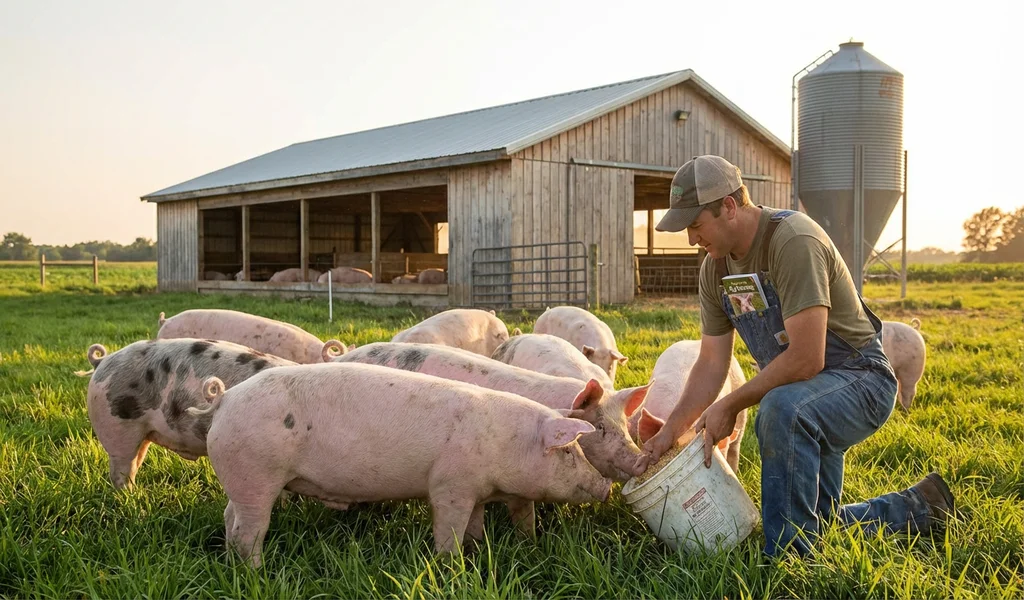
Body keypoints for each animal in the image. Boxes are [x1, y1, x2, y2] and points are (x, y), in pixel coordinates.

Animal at [191, 363, 612, 566]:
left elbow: (475, 525)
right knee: (249, 530)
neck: (504, 442)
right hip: (257, 474)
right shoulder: (450, 486)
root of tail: (225, 399)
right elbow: (449, 529)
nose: (605, 486)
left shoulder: (475, 490)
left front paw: (477, 550)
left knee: (230, 518)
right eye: (570, 452)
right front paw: (451, 565)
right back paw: (256, 570)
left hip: (241, 480)